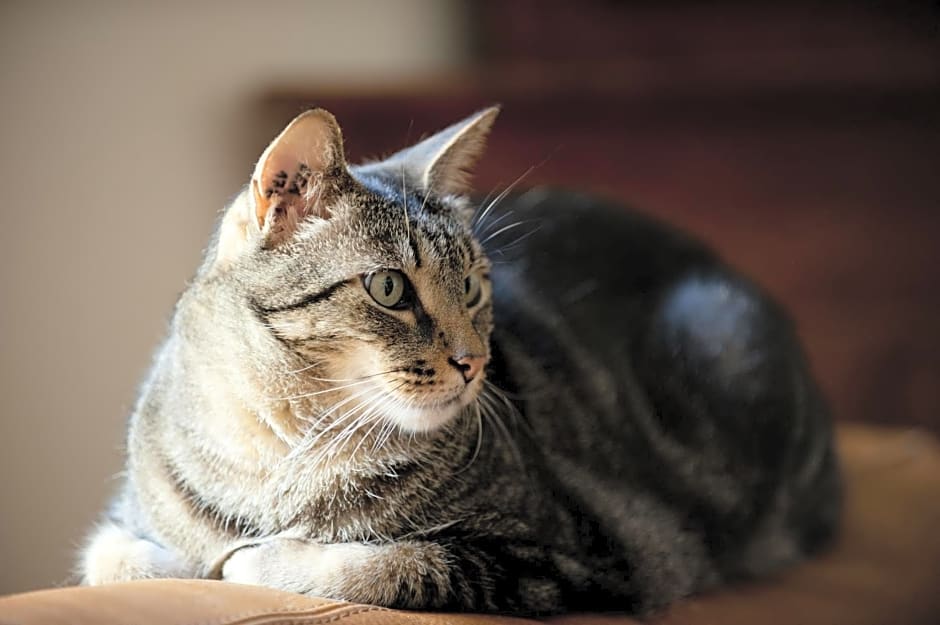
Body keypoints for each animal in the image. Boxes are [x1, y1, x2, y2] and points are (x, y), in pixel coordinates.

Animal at [81, 107, 840, 616]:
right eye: (390, 288)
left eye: (474, 285)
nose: (475, 361)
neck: (280, 452)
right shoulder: (120, 528)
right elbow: (119, 557)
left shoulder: (585, 553)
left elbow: (389, 564)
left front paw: (252, 558)